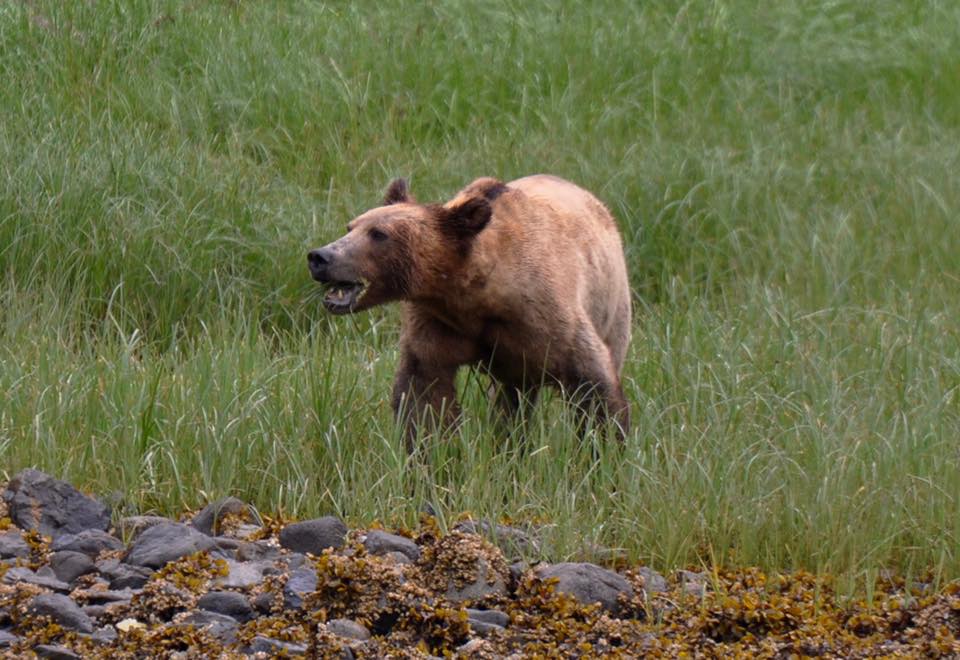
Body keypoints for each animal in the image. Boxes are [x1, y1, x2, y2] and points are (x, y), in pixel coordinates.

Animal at [307, 174, 631, 449]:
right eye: (351, 226)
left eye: (378, 234)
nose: (320, 257)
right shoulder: (435, 323)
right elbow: (423, 394)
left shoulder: (546, 316)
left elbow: (591, 381)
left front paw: (603, 449)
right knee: (510, 399)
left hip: (612, 304)